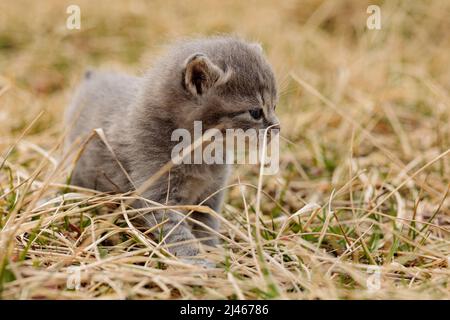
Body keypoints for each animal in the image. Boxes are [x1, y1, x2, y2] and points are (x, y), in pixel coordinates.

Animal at [65, 36, 280, 258]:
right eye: (255, 112)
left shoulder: (210, 195)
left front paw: (211, 250)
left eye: (274, 106)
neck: (202, 151)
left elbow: (206, 226)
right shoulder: (159, 195)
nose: (277, 127)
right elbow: (177, 233)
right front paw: (197, 260)